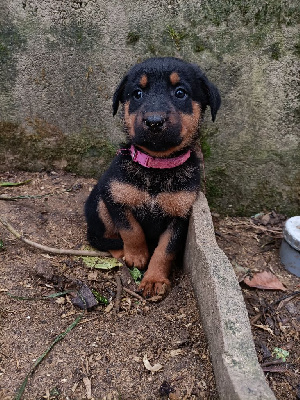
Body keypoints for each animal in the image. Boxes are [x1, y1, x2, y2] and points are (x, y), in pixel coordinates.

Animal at [84, 57, 220, 298]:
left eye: (180, 92)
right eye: (137, 93)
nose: (154, 121)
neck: (157, 168)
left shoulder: (180, 215)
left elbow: (165, 250)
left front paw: (154, 279)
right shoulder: (115, 196)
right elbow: (131, 230)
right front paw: (137, 256)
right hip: (99, 203)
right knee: (100, 238)